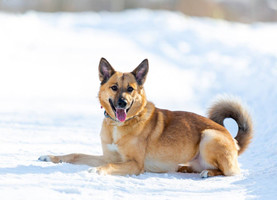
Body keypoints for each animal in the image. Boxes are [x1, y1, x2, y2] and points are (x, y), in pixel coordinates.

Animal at [38, 57, 252, 178]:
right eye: (114, 87)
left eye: (130, 89)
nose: (122, 103)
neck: (118, 126)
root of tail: (234, 141)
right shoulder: (106, 155)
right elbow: (75, 155)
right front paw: (51, 157)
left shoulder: (134, 164)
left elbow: (109, 165)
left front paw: (97, 171)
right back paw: (183, 168)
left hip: (208, 136)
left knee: (229, 172)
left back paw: (208, 172)